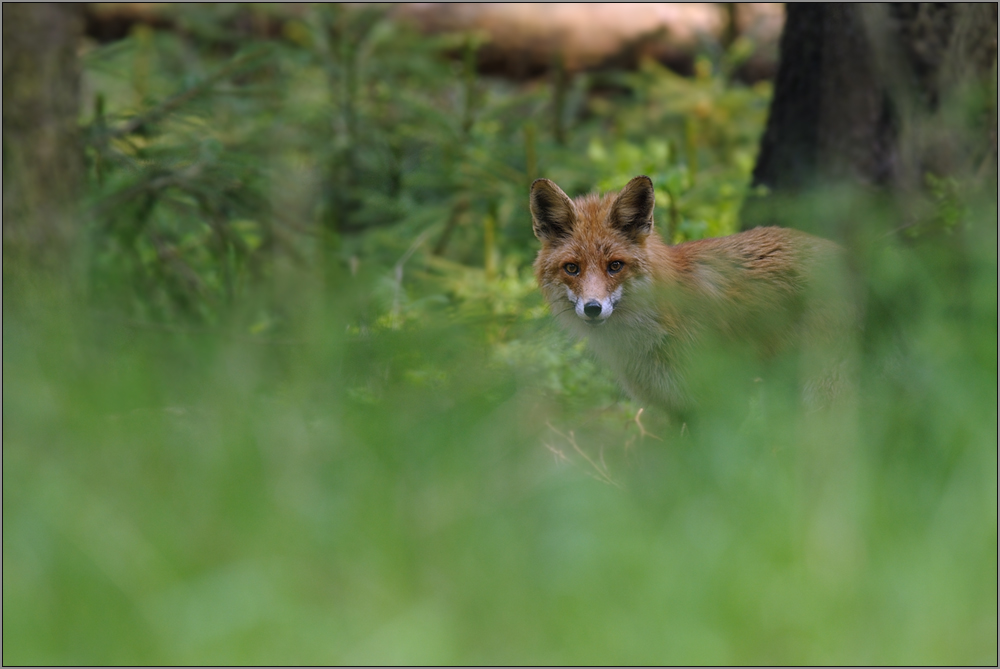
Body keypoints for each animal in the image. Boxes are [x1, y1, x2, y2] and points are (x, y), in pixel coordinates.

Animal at [532, 175, 852, 410]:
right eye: (572, 268)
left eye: (615, 266)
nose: (593, 308)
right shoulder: (671, 409)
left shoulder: (720, 400)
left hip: (823, 390)